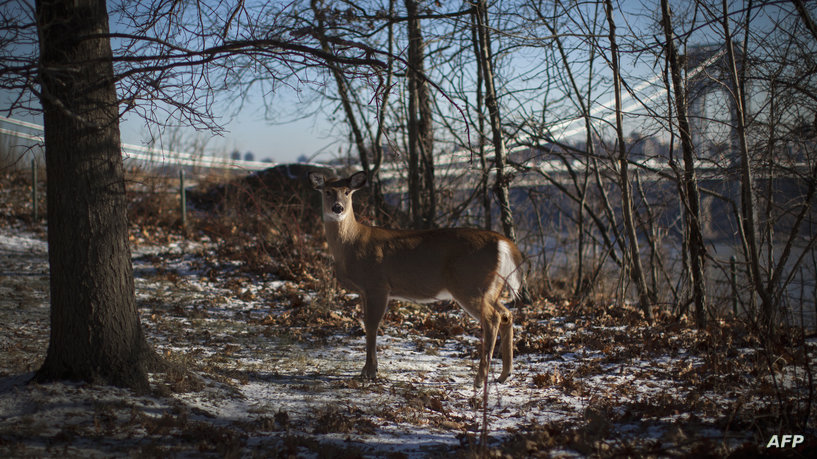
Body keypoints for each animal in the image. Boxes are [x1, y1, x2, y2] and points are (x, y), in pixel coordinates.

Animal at [306, 170, 524, 388]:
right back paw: (505, 374)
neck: (352, 244)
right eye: (328, 191)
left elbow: (372, 325)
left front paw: (369, 371)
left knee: (492, 319)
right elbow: (367, 323)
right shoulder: (364, 291)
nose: (338, 208)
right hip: (491, 288)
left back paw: (479, 380)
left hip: (469, 283)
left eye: (347, 191)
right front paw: (368, 370)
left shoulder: (377, 284)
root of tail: (504, 243)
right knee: (506, 314)